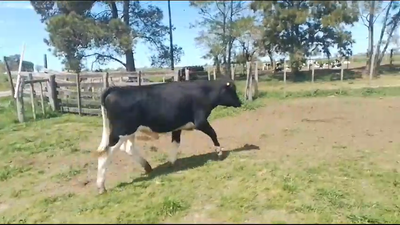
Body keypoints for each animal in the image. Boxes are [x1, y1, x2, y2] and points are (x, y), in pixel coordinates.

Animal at [95, 77, 242, 193]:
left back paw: (147, 167)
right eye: (232, 90)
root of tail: (116, 89)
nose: (240, 103)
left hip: (129, 132)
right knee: (105, 153)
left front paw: (172, 162)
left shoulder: (178, 126)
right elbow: (213, 134)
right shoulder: (200, 122)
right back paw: (101, 186)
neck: (204, 92)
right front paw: (220, 152)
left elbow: (175, 143)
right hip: (120, 132)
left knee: (128, 148)